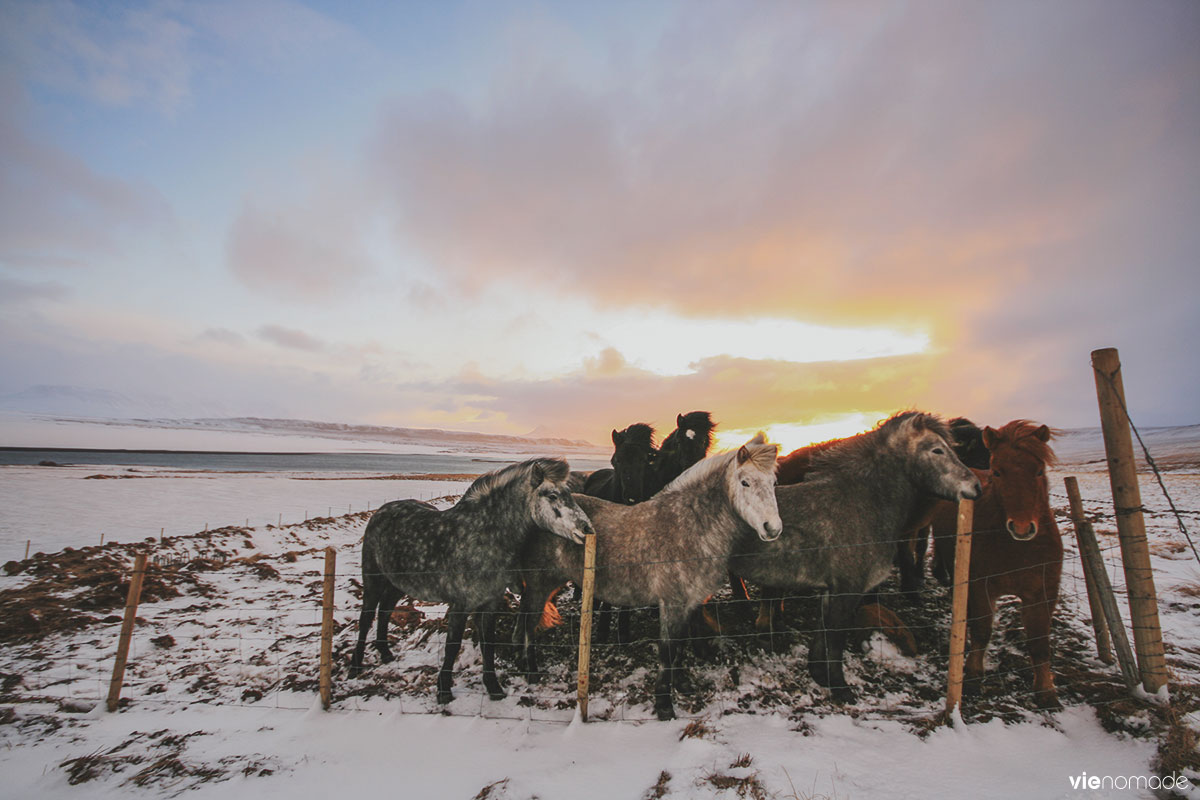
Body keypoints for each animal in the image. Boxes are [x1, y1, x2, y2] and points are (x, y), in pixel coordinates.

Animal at [350, 460, 595, 705]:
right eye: (552, 495)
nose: (587, 528)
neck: (482, 536)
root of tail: (380, 512)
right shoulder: (460, 605)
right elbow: (452, 646)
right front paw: (444, 690)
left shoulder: (489, 603)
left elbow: (488, 643)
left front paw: (493, 687)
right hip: (373, 580)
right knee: (367, 617)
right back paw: (355, 665)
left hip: (397, 584)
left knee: (385, 610)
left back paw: (385, 653)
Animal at [518, 434, 782, 724]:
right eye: (745, 482)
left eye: (773, 483)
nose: (772, 528)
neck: (686, 527)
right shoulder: (671, 603)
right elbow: (667, 650)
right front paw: (664, 704)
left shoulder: (688, 604)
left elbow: (679, 645)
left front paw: (682, 684)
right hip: (540, 584)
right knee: (529, 622)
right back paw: (530, 670)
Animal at [724, 412, 979, 700]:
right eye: (937, 450)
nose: (976, 486)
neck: (859, 503)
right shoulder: (848, 588)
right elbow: (836, 638)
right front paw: (841, 689)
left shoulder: (830, 590)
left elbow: (824, 636)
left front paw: (821, 677)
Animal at [926, 419, 1060, 705]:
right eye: (997, 472)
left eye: (1039, 471)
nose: (1021, 527)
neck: (1017, 549)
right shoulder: (980, 585)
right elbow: (982, 630)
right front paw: (973, 675)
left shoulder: (1043, 592)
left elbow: (1039, 640)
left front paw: (1045, 689)